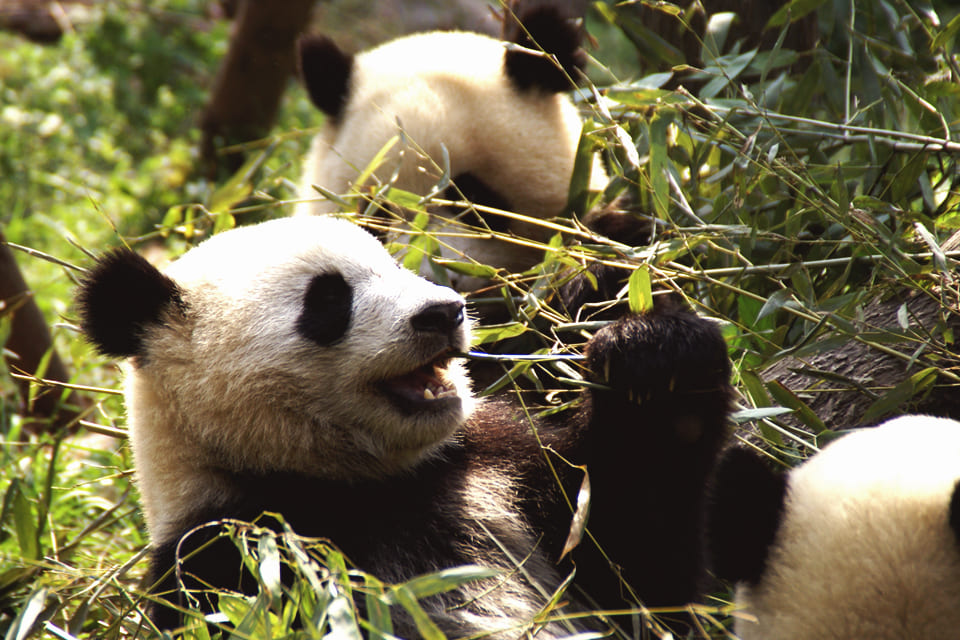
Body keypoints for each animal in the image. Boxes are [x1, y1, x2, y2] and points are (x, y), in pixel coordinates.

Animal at [76, 216, 732, 635]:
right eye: (328, 300)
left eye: (395, 266)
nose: (443, 312)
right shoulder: (233, 556)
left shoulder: (502, 472)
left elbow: (637, 570)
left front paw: (658, 357)